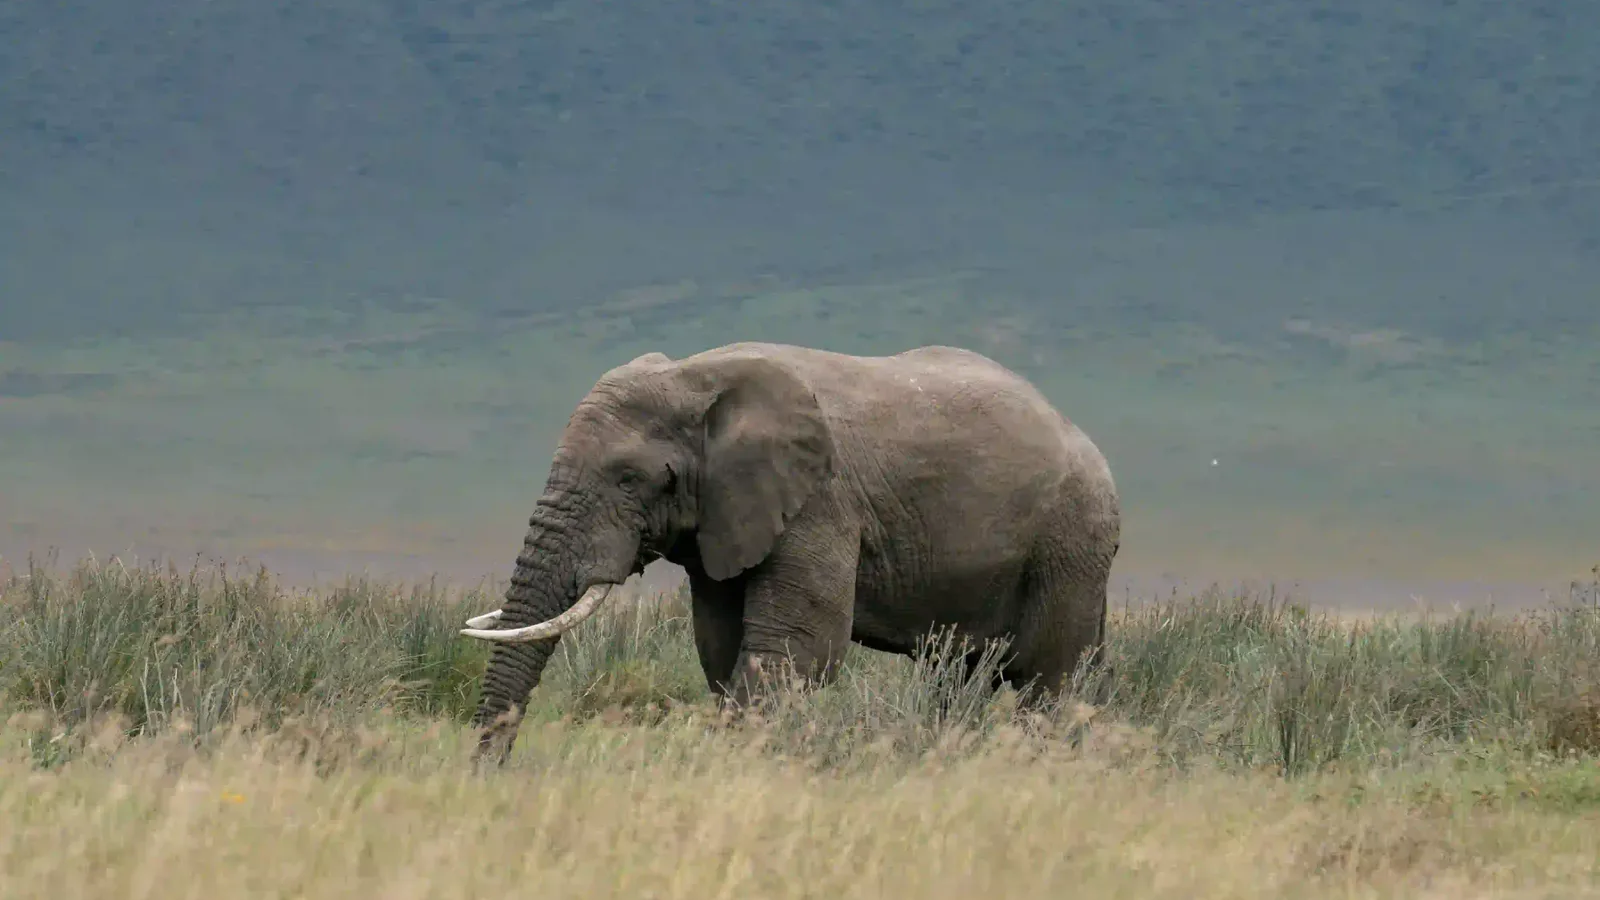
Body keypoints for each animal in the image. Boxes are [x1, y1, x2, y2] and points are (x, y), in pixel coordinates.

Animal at [460, 341, 1121, 764]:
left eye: (630, 479)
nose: (490, 775)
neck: (697, 377)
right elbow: (721, 645)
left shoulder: (820, 503)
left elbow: (795, 651)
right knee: (957, 676)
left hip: (1072, 541)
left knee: (1048, 681)